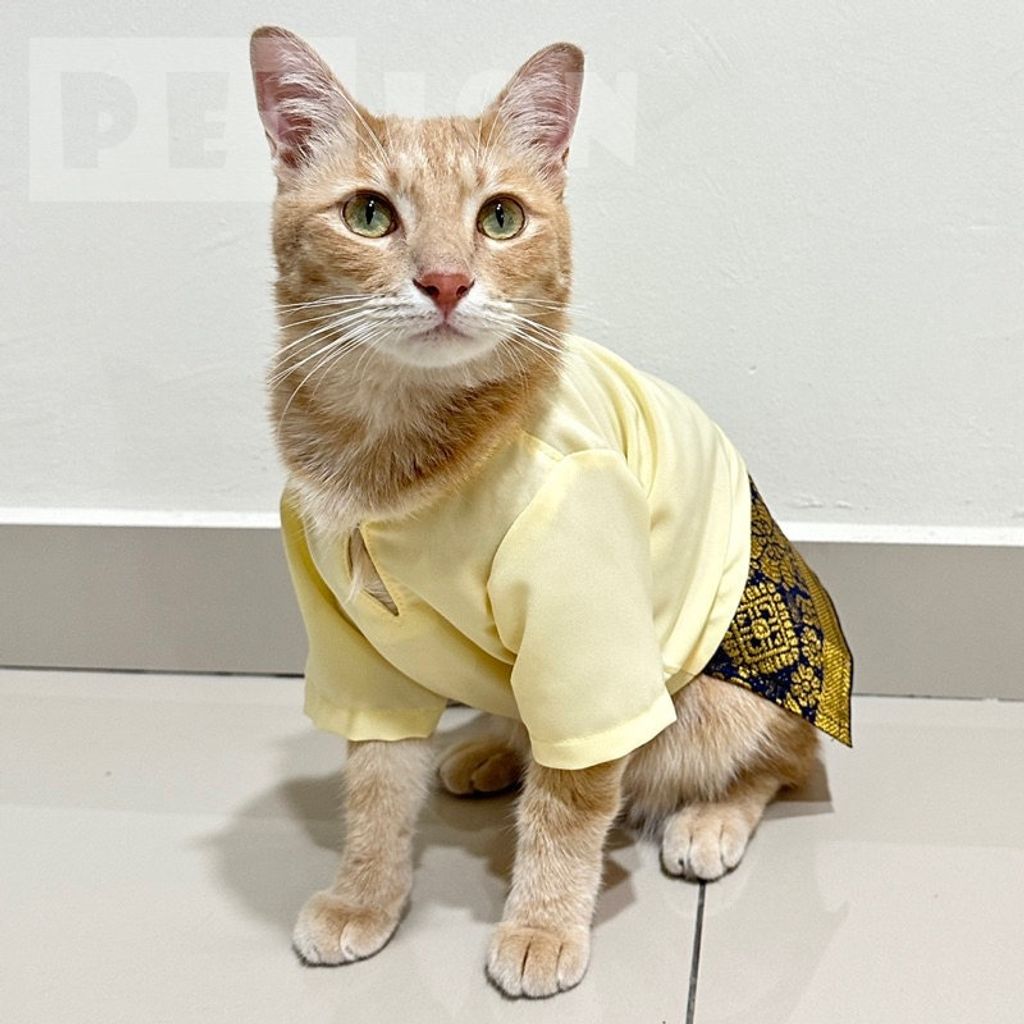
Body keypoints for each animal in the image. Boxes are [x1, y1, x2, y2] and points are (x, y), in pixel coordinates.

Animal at [249, 26, 851, 1000]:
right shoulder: (355, 651)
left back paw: (709, 821)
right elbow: (376, 783)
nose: (445, 281)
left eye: (500, 218)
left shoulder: (584, 636)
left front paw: (540, 925)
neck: (399, 454)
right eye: (369, 215)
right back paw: (491, 751)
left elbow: (571, 805)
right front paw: (365, 896)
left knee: (782, 763)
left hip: (723, 704)